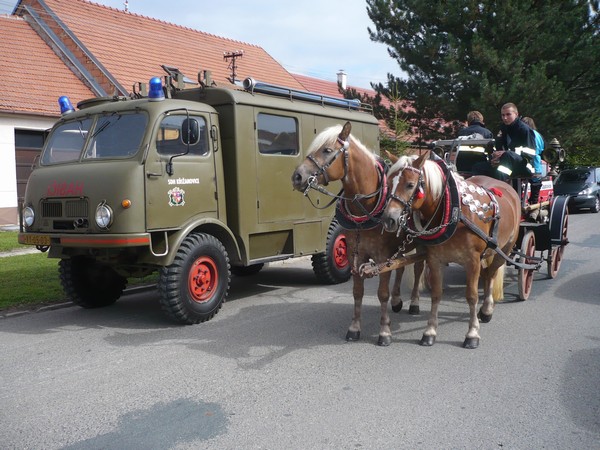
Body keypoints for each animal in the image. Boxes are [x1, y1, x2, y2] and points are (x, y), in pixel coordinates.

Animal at [292, 121, 424, 346]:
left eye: (327, 150)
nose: (297, 176)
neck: (365, 209)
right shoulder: (355, 254)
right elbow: (357, 292)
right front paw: (354, 328)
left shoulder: (382, 257)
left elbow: (382, 293)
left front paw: (384, 331)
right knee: (400, 267)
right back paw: (398, 300)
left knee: (417, 268)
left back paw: (414, 303)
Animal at [384, 151, 520, 348]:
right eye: (388, 182)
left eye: (410, 184)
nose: (389, 219)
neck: (455, 211)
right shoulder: (435, 259)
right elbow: (436, 294)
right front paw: (430, 331)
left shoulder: (472, 261)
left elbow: (471, 296)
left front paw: (472, 333)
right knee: (487, 274)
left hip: (505, 249)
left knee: (492, 273)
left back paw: (487, 309)